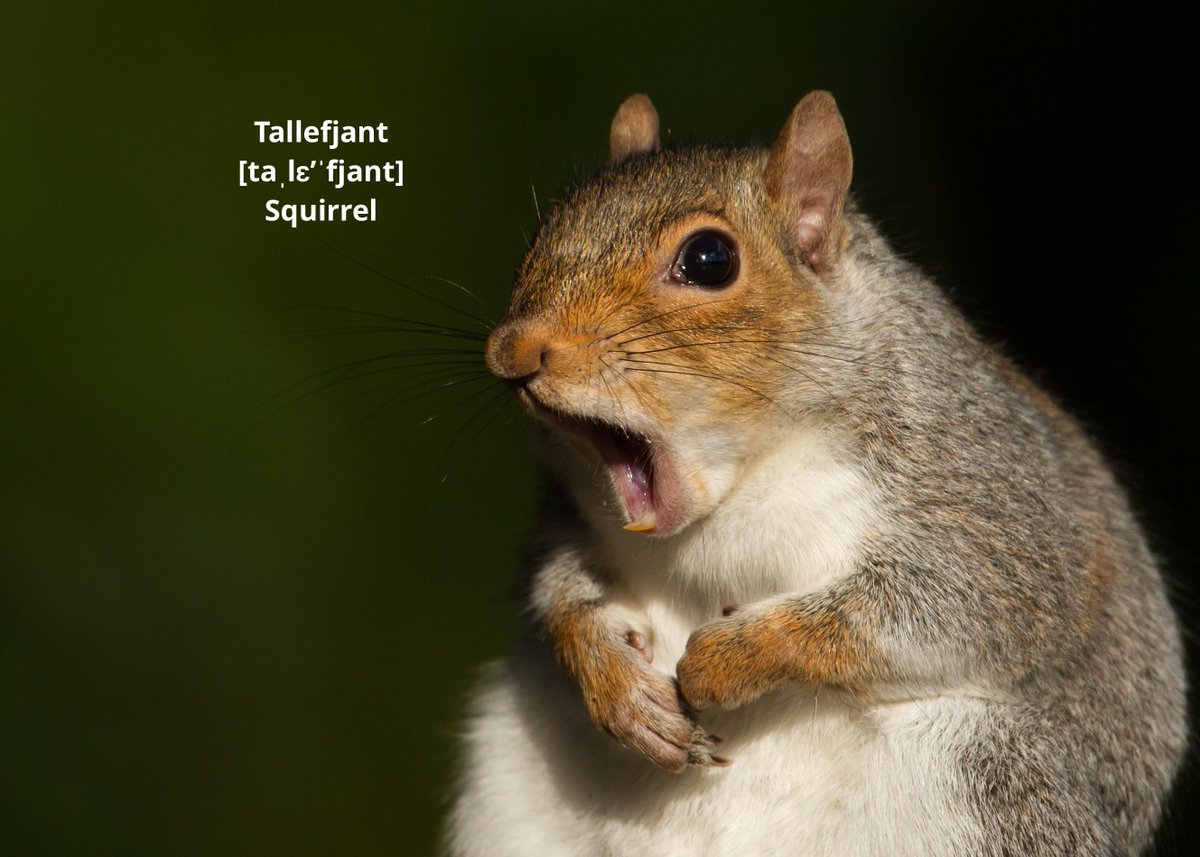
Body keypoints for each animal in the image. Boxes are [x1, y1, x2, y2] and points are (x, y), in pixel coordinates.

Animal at [445, 92, 1187, 856]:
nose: (512, 351)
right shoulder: (569, 512)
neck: (741, 484)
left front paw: (728, 658)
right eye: (544, 229)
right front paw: (616, 681)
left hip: (996, 779)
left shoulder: (988, 496)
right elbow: (561, 587)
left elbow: (946, 607)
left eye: (709, 259)